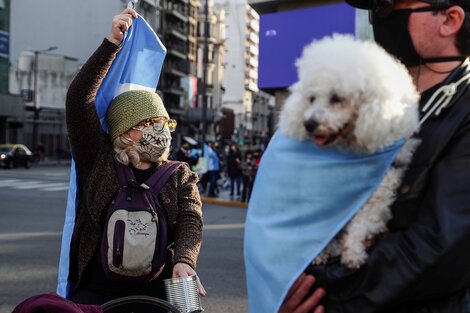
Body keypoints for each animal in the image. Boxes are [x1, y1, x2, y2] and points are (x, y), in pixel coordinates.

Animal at [56, 15, 166, 298]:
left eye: (167, 122)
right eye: (152, 122)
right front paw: (119, 29)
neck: (138, 163)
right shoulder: (90, 143)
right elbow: (77, 96)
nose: (165, 129)